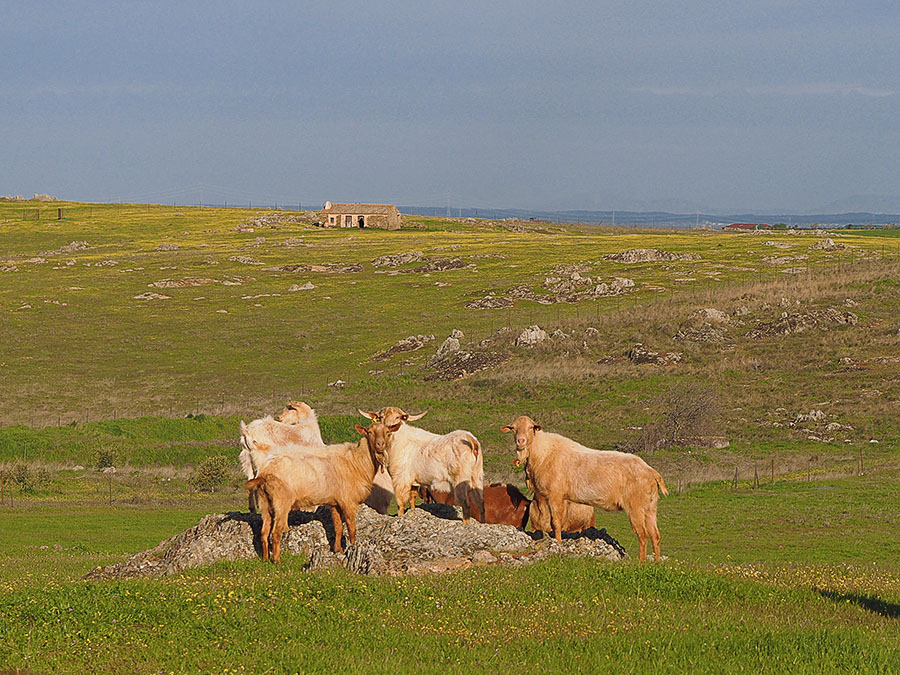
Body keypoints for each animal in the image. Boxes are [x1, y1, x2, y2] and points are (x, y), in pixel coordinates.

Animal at [244, 420, 396, 564]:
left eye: (388, 432)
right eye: (369, 432)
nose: (380, 445)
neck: (357, 462)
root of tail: (264, 473)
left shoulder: (335, 503)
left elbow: (338, 528)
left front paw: (338, 550)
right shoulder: (348, 502)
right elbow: (352, 529)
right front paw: (352, 548)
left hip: (265, 502)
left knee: (264, 532)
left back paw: (265, 559)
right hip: (281, 502)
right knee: (275, 533)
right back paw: (277, 560)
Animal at [500, 414, 668, 564]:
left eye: (531, 427)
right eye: (513, 428)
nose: (520, 441)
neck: (542, 453)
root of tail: (652, 472)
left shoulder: (555, 495)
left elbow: (556, 523)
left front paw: (558, 544)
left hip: (636, 507)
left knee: (643, 534)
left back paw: (641, 562)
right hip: (650, 506)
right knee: (655, 534)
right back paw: (657, 562)